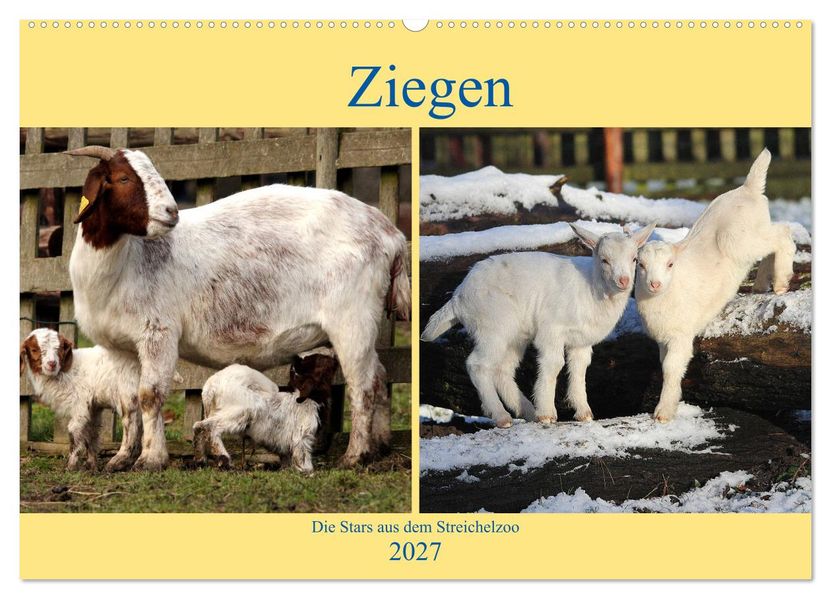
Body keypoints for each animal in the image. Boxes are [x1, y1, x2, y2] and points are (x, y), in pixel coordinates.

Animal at [19, 328, 142, 472]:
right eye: (34, 349)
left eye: (59, 348)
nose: (52, 364)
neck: (67, 370)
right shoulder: (93, 407)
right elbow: (92, 434)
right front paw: (91, 465)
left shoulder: (80, 403)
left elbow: (74, 432)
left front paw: (71, 467)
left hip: (128, 394)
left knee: (132, 425)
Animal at [193, 351, 339, 473]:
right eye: (319, 359)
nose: (335, 357)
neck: (311, 398)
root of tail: (211, 386)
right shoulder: (302, 436)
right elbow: (303, 455)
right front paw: (307, 471)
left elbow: (286, 456)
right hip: (242, 411)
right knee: (208, 427)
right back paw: (223, 459)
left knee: (198, 427)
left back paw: (200, 458)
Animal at [421, 223, 656, 426]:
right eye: (604, 260)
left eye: (635, 259)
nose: (623, 281)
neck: (591, 287)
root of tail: (458, 297)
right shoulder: (551, 329)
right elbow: (554, 364)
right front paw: (547, 414)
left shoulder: (581, 341)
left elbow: (579, 369)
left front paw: (584, 413)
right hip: (493, 326)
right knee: (477, 365)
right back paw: (502, 416)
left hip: (515, 335)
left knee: (503, 369)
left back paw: (526, 410)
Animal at [635, 149, 796, 423]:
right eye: (640, 265)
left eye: (670, 264)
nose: (654, 284)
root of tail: (748, 188)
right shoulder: (663, 338)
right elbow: (665, 365)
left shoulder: (680, 334)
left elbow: (671, 368)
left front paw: (663, 413)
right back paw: (761, 284)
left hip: (739, 239)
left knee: (783, 233)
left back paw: (782, 282)